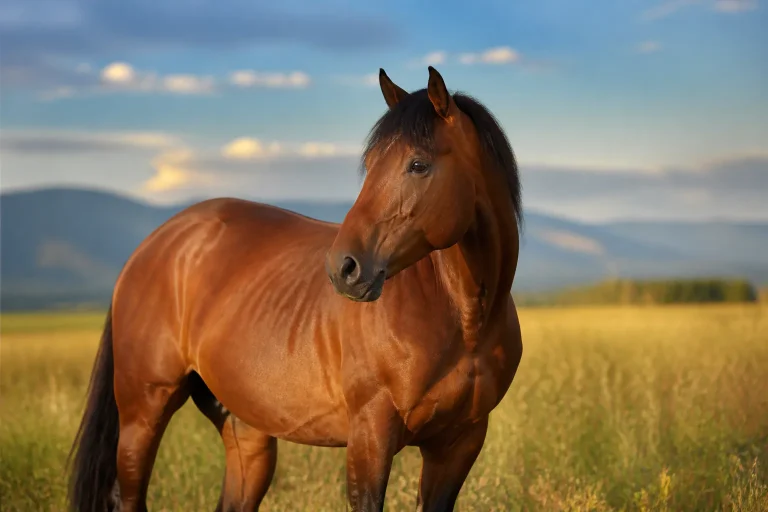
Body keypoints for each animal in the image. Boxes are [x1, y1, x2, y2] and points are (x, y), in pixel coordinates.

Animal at [67, 65, 524, 512]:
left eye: (418, 164)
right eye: (371, 163)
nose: (343, 268)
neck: (463, 318)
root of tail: (153, 245)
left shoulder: (459, 445)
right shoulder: (370, 437)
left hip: (245, 430)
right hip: (143, 412)